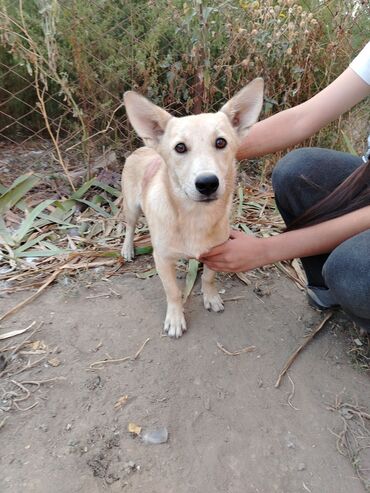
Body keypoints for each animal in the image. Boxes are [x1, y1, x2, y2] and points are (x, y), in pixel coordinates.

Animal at [121, 79, 264, 336]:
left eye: (221, 142)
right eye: (180, 147)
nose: (207, 183)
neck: (195, 217)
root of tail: (144, 147)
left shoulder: (218, 252)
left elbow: (208, 277)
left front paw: (211, 297)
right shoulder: (162, 259)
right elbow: (173, 291)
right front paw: (175, 319)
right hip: (131, 207)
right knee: (129, 226)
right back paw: (127, 248)